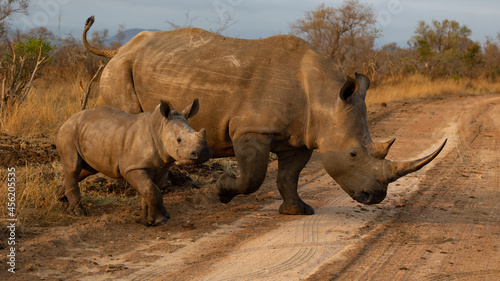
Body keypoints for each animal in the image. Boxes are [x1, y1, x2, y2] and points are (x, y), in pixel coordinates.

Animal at [55, 98, 212, 225]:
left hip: (88, 134)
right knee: (74, 167)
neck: (160, 128)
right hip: (68, 133)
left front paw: (146, 221)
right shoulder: (133, 168)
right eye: (179, 140)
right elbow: (151, 190)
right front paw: (161, 220)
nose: (203, 153)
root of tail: (68, 119)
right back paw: (78, 212)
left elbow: (149, 190)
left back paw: (60, 198)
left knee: (85, 170)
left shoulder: (160, 168)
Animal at [82, 16, 446, 214]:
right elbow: (254, 177)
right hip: (120, 71)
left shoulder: (301, 137)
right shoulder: (251, 129)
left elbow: (288, 176)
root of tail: (118, 49)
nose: (375, 197)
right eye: (354, 153)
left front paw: (298, 211)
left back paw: (165, 187)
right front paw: (222, 191)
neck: (326, 99)